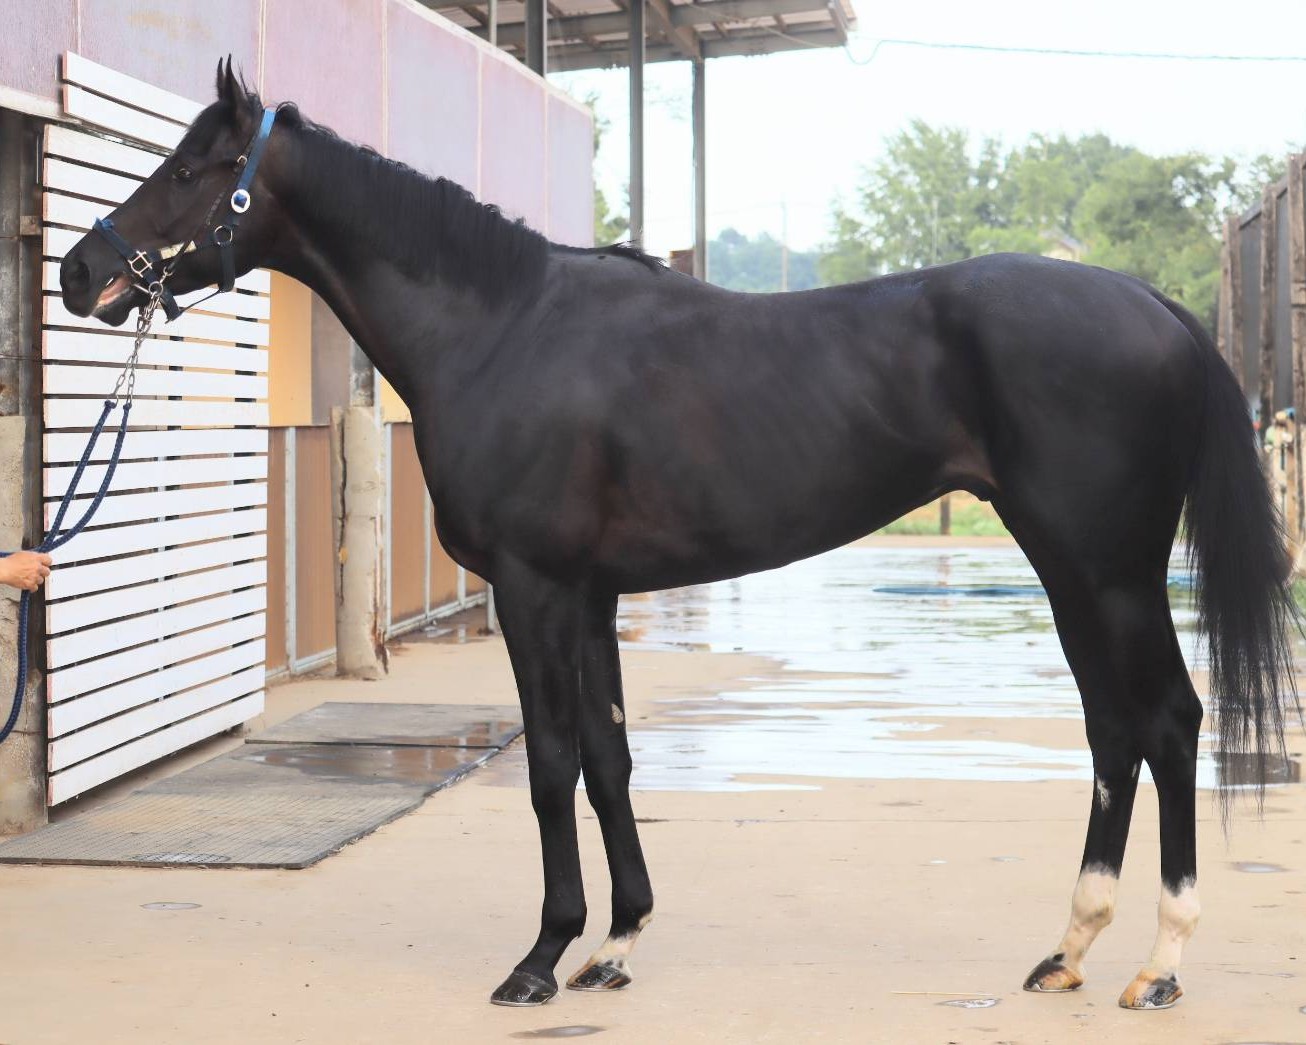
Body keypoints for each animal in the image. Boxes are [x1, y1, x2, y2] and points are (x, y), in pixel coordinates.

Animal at [59, 60, 1298, 1011]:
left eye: (189, 170)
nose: (81, 272)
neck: (501, 326)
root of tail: (1158, 308)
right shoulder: (592, 594)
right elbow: (610, 757)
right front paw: (615, 943)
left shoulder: (535, 588)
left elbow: (551, 763)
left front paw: (540, 957)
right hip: (1075, 572)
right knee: (1112, 731)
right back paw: (1069, 948)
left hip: (1107, 570)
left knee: (1166, 722)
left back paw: (1159, 963)